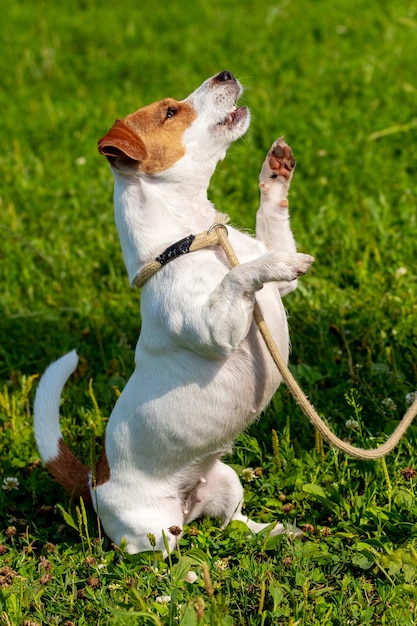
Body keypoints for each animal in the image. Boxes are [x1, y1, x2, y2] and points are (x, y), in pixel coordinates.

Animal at [33, 70, 312, 552]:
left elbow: (271, 224)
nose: (225, 73)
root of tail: (93, 481)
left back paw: (275, 531)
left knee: (234, 523)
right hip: (153, 531)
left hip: (226, 479)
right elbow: (242, 275)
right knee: (162, 556)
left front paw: (275, 173)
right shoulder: (217, 328)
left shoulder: (278, 282)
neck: (196, 238)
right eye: (170, 111)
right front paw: (274, 264)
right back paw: (190, 569)